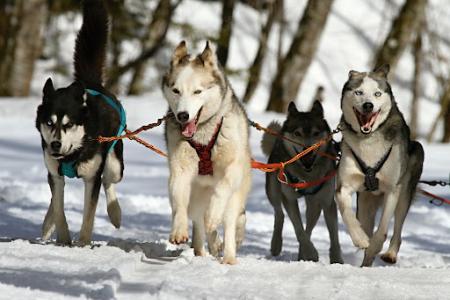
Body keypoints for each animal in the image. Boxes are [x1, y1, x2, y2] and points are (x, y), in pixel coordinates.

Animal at [35, 0, 123, 245]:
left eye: (69, 124)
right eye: (49, 123)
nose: (55, 144)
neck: (72, 154)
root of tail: (89, 82)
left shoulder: (92, 177)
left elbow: (89, 214)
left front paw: (82, 243)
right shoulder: (55, 174)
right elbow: (58, 207)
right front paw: (63, 238)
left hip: (115, 164)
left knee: (109, 181)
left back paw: (115, 214)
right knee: (54, 199)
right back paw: (47, 224)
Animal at [163, 41, 253, 264]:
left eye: (197, 91)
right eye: (176, 90)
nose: (183, 115)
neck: (203, 134)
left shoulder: (233, 169)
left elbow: (222, 188)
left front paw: (213, 215)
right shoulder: (180, 169)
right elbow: (179, 200)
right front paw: (179, 230)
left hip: (235, 199)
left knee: (228, 223)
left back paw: (228, 257)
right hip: (196, 199)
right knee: (199, 224)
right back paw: (203, 250)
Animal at [262, 100, 342, 262]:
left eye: (316, 133)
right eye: (297, 133)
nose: (308, 149)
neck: (306, 176)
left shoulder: (327, 202)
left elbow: (334, 236)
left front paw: (337, 260)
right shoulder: (289, 199)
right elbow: (298, 229)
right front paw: (311, 253)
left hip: (314, 204)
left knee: (309, 227)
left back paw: (301, 254)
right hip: (273, 191)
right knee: (279, 214)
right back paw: (276, 245)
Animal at [338, 65, 426, 264]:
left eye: (377, 93)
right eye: (359, 92)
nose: (368, 105)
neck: (368, 139)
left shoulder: (392, 189)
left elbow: (383, 229)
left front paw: (375, 245)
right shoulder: (344, 186)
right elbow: (347, 214)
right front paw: (360, 239)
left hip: (405, 191)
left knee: (398, 228)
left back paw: (390, 254)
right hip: (365, 204)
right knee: (365, 223)